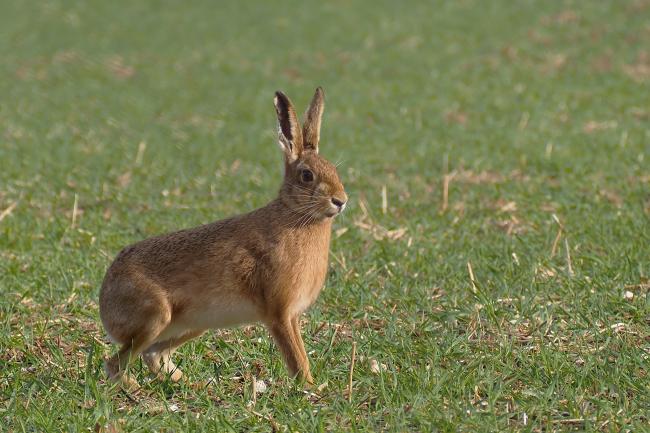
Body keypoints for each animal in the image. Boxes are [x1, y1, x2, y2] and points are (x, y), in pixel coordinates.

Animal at [99, 87, 347, 389]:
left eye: (335, 171)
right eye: (307, 175)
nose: (340, 201)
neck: (297, 215)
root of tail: (105, 302)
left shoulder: (291, 316)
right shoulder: (279, 312)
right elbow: (298, 360)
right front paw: (311, 388)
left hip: (195, 324)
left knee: (153, 355)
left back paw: (192, 386)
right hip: (155, 316)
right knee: (116, 363)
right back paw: (136, 389)